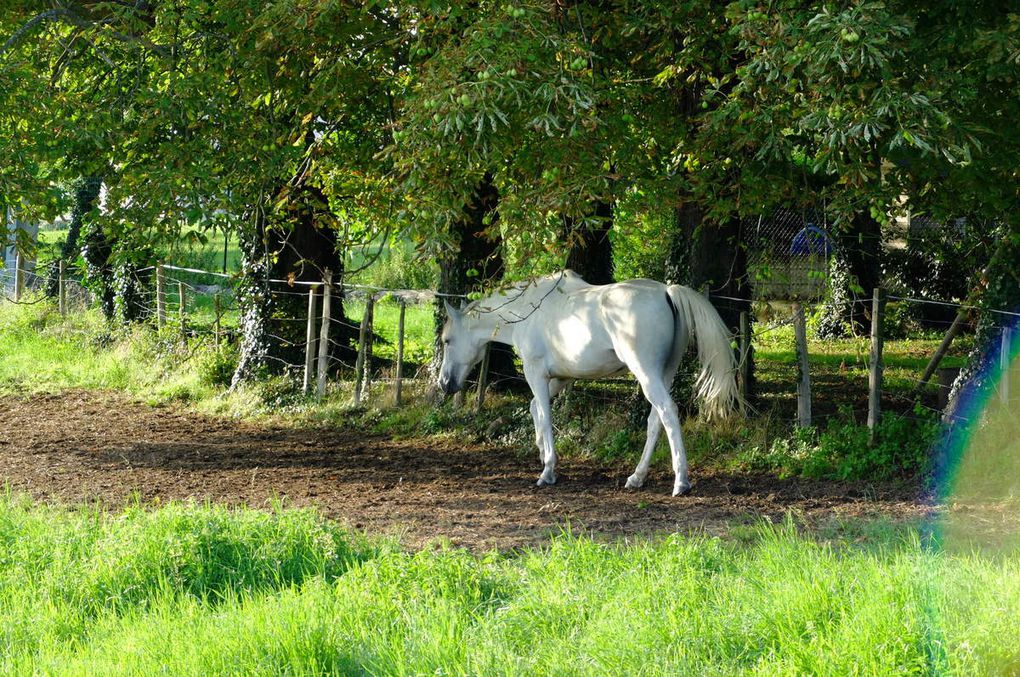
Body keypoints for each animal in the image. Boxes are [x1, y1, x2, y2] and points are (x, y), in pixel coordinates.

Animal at [434, 269, 738, 497]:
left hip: (647, 373)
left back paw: (680, 482)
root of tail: (666, 291)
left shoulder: (536, 373)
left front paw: (548, 471)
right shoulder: (560, 378)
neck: (527, 311)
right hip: (664, 374)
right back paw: (637, 477)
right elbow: (534, 408)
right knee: (655, 420)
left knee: (668, 413)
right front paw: (542, 452)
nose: (444, 383)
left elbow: (545, 415)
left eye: (447, 340)